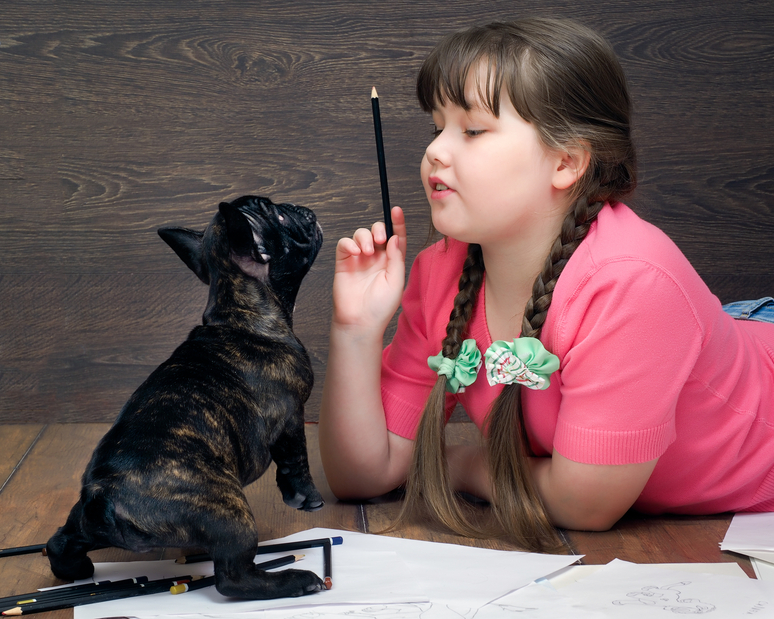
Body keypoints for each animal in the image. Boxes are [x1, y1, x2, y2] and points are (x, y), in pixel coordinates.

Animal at [46, 195, 324, 600]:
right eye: (280, 216)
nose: (304, 210)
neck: (238, 309)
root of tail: (104, 495)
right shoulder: (292, 414)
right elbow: (296, 459)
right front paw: (307, 498)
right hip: (228, 510)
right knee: (233, 578)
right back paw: (296, 580)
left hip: (81, 521)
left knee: (59, 542)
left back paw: (75, 569)